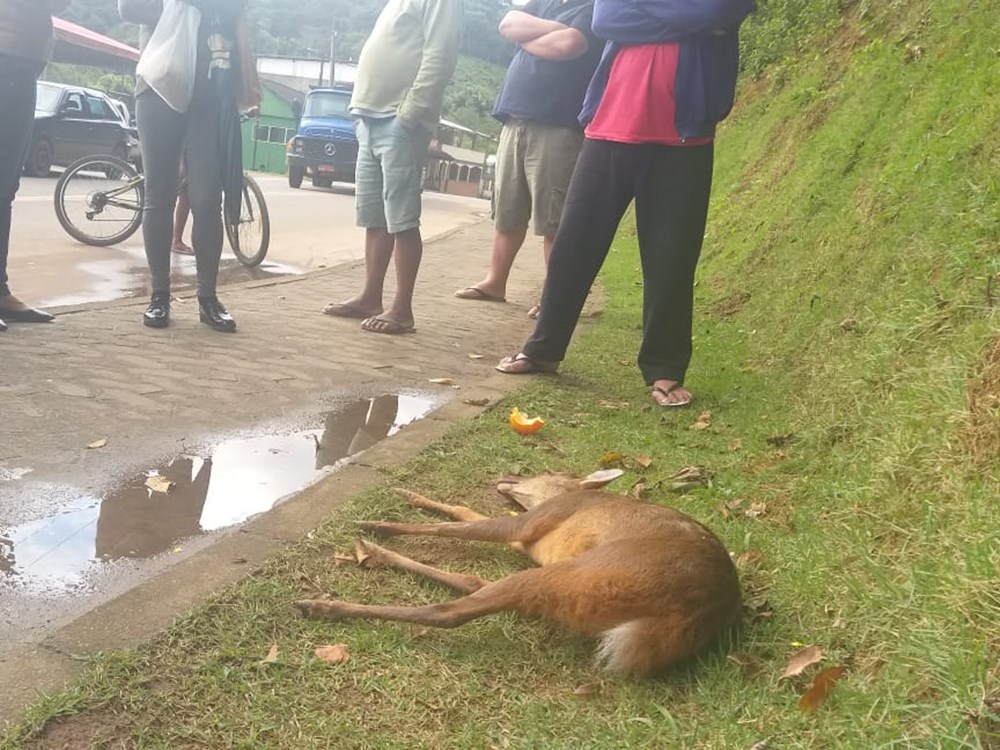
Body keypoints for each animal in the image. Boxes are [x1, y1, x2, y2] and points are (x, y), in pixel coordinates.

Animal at [295, 472, 742, 676]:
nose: (509, 475)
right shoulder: (525, 538)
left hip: (586, 572)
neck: (566, 495)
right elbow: (461, 512)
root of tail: (705, 610)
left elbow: (457, 526)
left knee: (451, 611)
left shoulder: (530, 523)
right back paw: (375, 557)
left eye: (545, 471)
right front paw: (409, 497)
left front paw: (382, 523)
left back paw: (326, 603)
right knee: (475, 585)